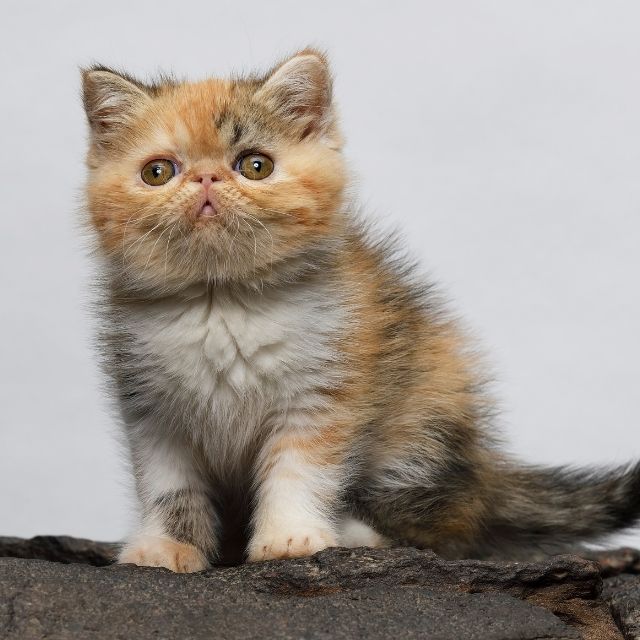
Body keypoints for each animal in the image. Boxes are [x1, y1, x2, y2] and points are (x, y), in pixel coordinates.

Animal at [81, 48, 640, 568]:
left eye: (255, 165)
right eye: (158, 172)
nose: (206, 180)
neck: (222, 299)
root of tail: (484, 468)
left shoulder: (323, 388)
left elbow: (299, 470)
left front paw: (290, 537)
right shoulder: (152, 409)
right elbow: (169, 486)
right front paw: (166, 546)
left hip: (426, 416)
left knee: (445, 519)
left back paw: (355, 533)